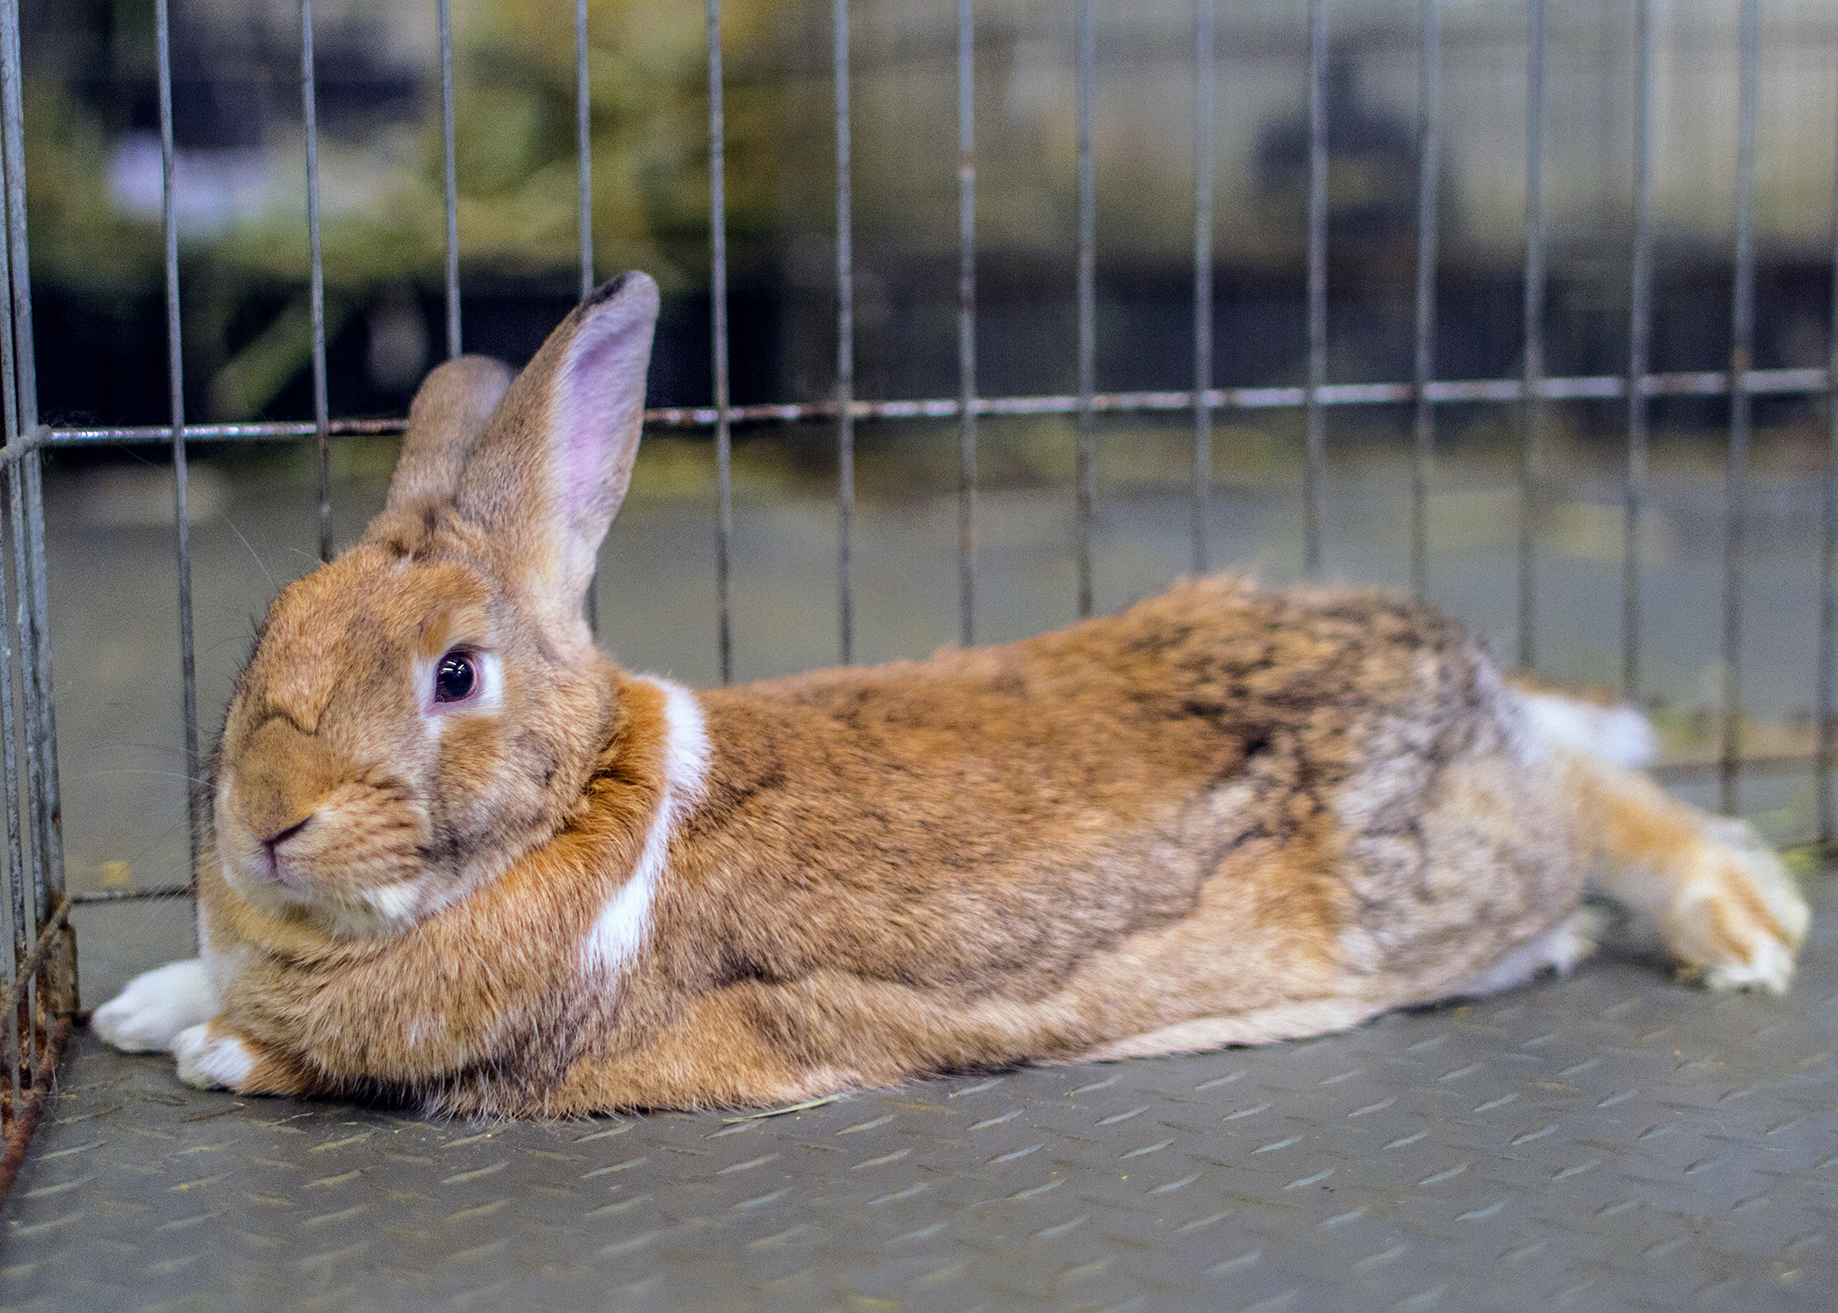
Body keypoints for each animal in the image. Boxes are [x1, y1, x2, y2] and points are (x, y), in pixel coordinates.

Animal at [92, 272, 1810, 1117]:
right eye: (271, 632)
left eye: (456, 674)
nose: (266, 826)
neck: (576, 804)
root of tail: (1446, 659)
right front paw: (138, 1005)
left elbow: (334, 1066)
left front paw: (213, 1050)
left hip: (1467, 856)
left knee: (1599, 800)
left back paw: (1743, 927)